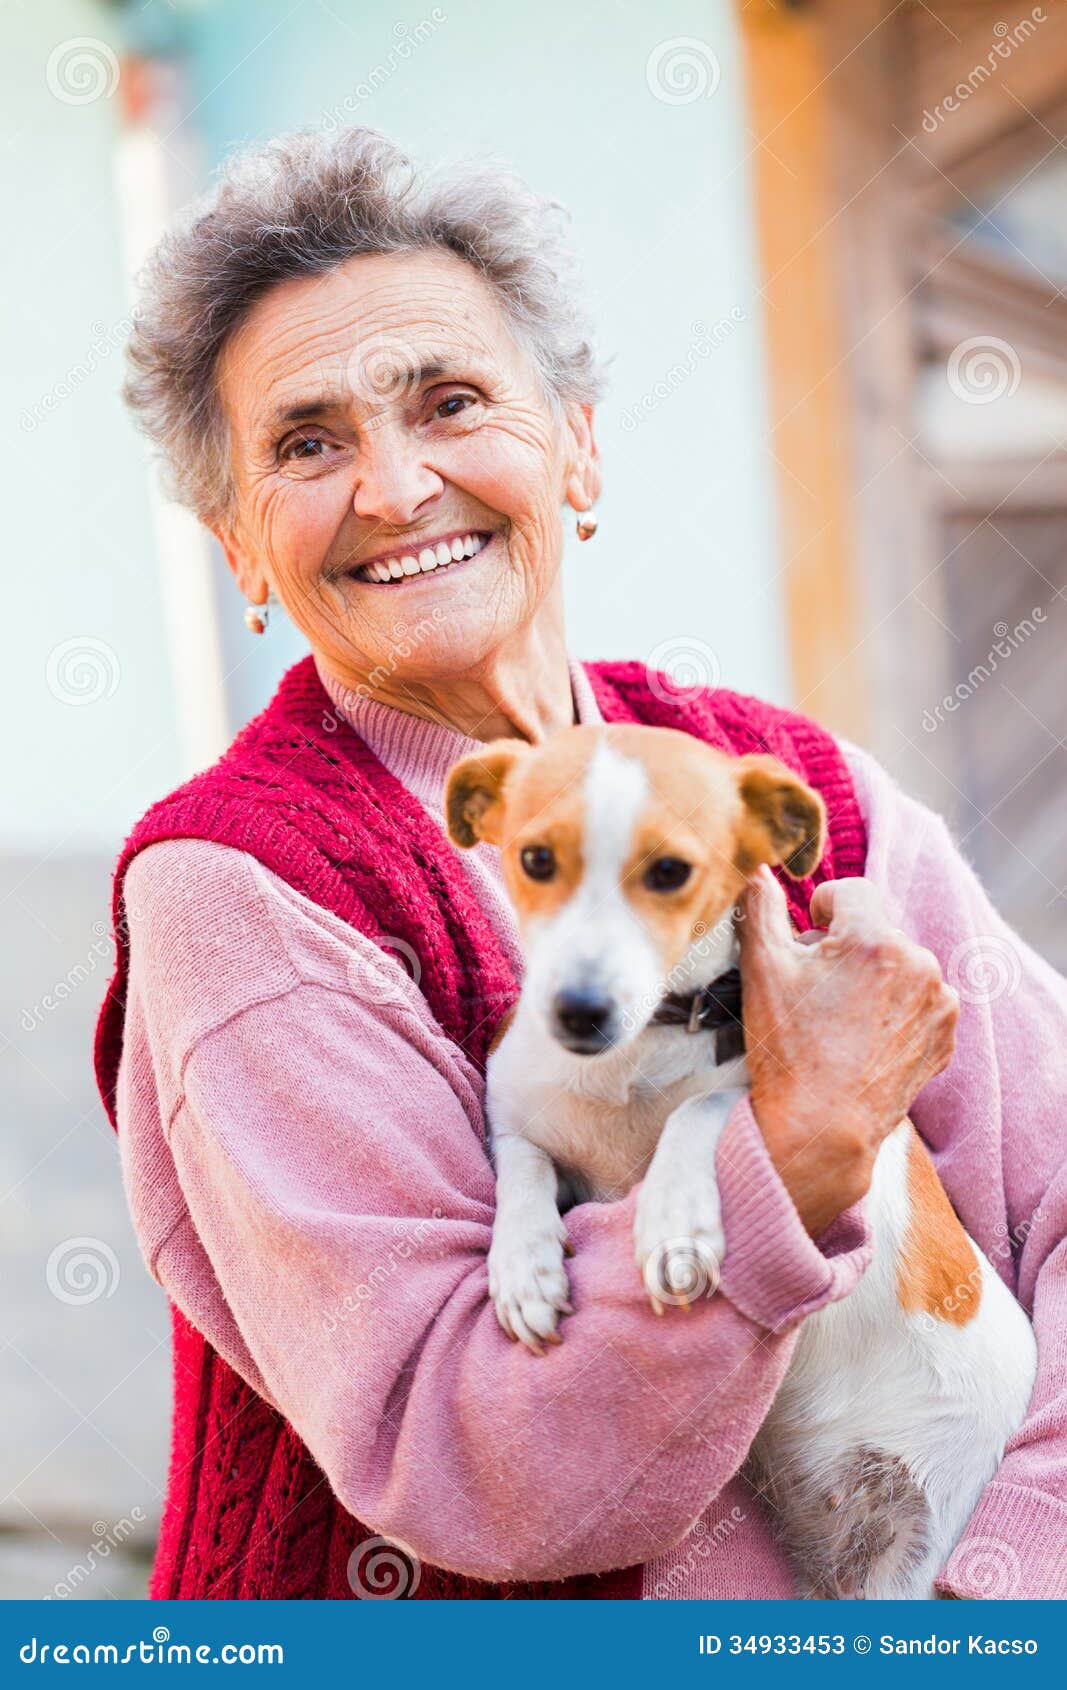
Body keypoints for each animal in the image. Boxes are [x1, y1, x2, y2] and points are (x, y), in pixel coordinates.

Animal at [446, 723, 1041, 1595]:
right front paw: (523, 1268)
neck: (633, 1057)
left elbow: (699, 1109)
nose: (580, 1012)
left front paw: (672, 1224)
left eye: (669, 871)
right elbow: (523, 1170)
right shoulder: (517, 1116)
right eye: (534, 859)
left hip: (917, 1546)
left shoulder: (774, 1081)